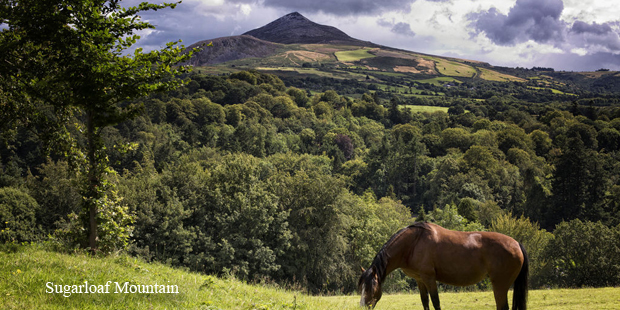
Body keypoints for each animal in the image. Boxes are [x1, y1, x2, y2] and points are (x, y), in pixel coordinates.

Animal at [358, 222, 528, 308]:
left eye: (372, 287)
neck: (413, 243)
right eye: (362, 287)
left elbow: (436, 303)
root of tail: (517, 244)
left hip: (500, 286)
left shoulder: (429, 279)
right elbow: (425, 303)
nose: (363, 306)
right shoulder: (420, 280)